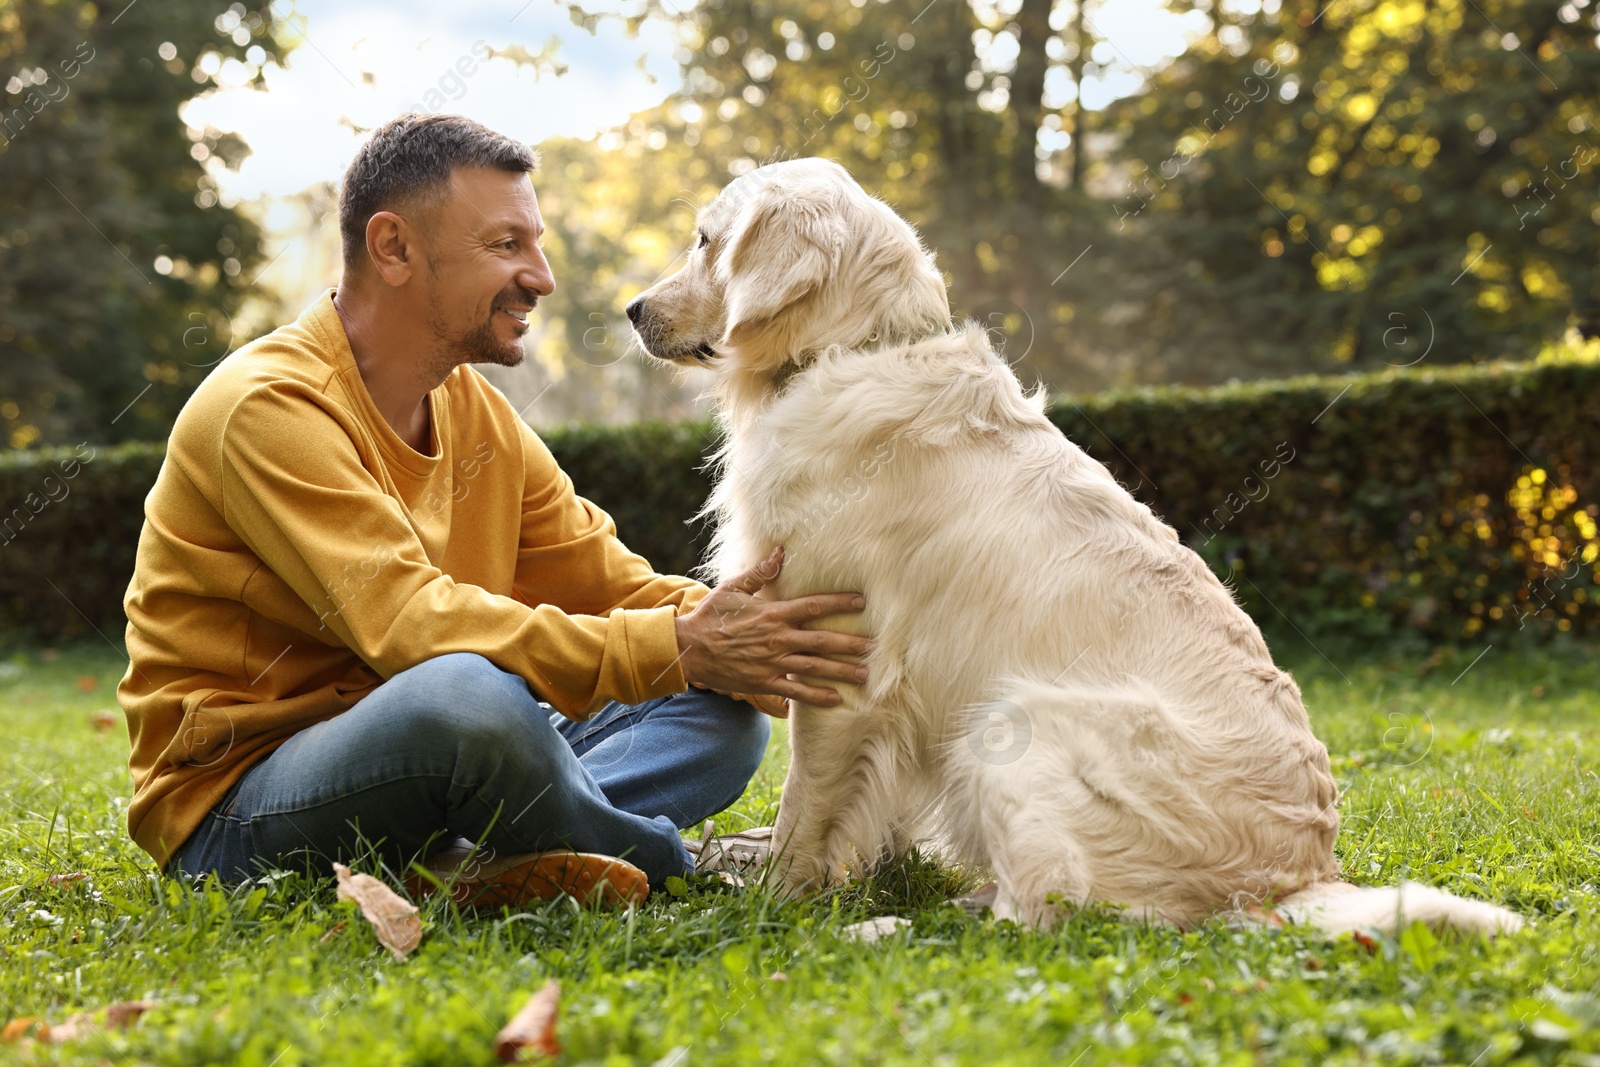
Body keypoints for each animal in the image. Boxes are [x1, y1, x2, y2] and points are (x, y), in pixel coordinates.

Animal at [627, 156, 1523, 934]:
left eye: (705, 240)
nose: (632, 309)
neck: (858, 345)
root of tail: (1298, 877)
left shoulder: (836, 656)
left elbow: (805, 809)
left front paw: (773, 902)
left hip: (1011, 723)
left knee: (1048, 917)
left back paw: (892, 928)